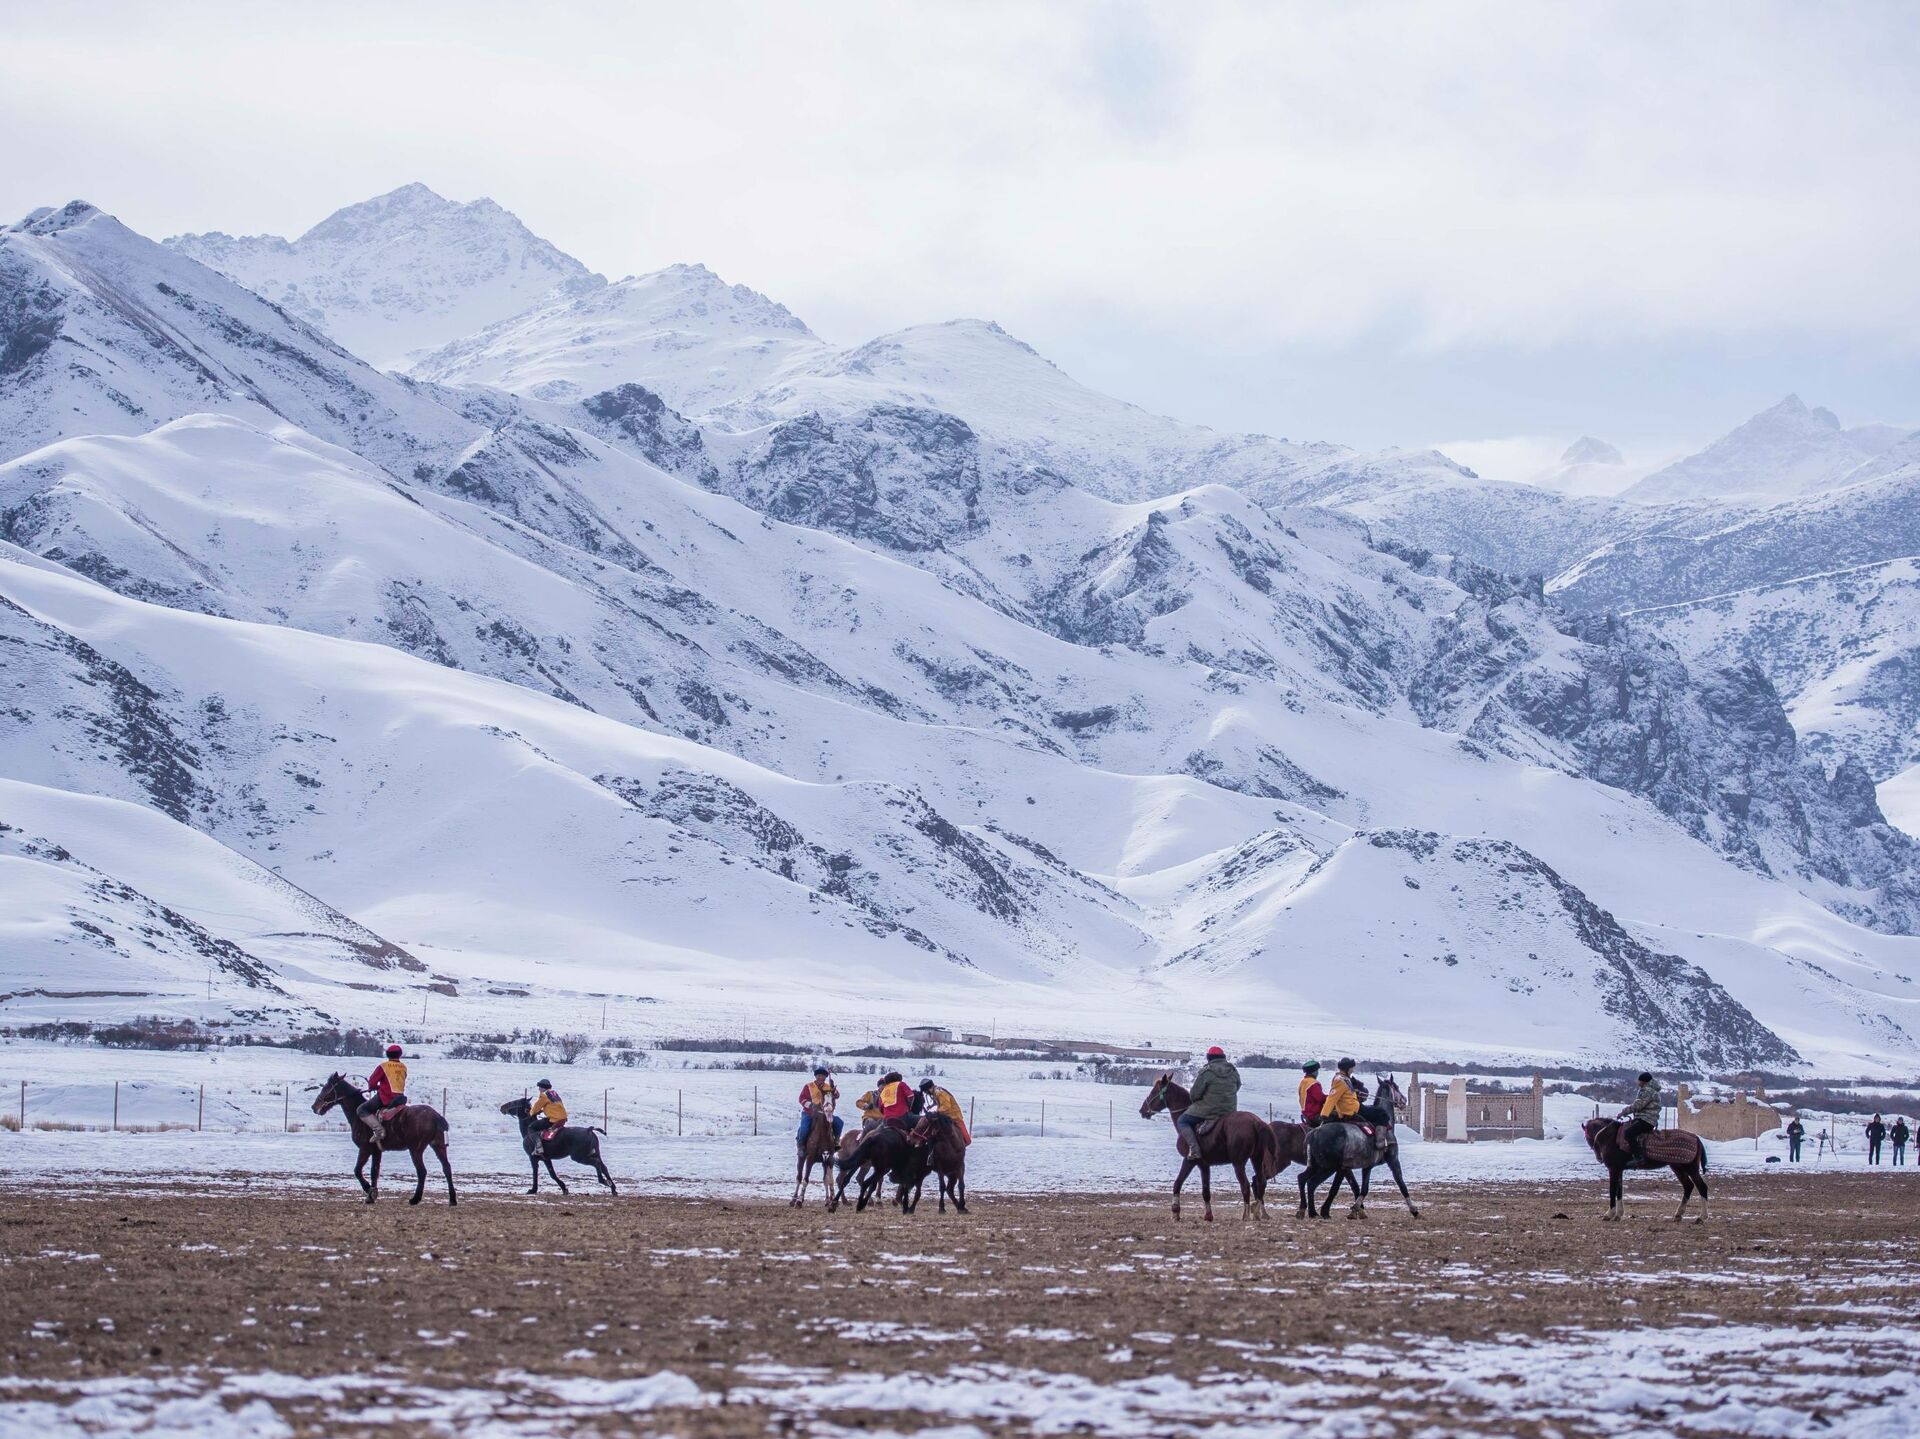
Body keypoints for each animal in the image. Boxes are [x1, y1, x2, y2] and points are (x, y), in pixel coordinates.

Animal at [311, 1073, 456, 1206]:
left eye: (327, 1087)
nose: (314, 1107)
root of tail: (436, 1116)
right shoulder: (376, 1151)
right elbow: (374, 1171)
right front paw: (371, 1195)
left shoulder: (364, 1149)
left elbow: (357, 1171)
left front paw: (369, 1190)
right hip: (438, 1145)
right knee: (447, 1168)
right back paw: (452, 1199)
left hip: (416, 1149)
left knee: (422, 1171)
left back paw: (415, 1199)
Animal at [1138, 1073, 1278, 1222]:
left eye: (1154, 1091)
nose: (1142, 1110)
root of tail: (1255, 1122)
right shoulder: (1204, 1165)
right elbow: (1206, 1191)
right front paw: (1208, 1215)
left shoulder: (1189, 1161)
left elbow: (1177, 1183)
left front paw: (1175, 1212)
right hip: (1256, 1158)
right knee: (1261, 1182)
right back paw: (1260, 1213)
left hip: (1238, 1163)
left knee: (1245, 1185)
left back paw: (1246, 1215)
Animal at [1297, 1075, 1418, 1220]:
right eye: (1396, 1087)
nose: (1404, 1101)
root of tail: (1314, 1133)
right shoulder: (1393, 1160)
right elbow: (1401, 1184)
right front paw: (1414, 1210)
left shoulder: (1367, 1166)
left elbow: (1363, 1188)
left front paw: (1355, 1209)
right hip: (1328, 1168)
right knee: (1312, 1183)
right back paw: (1314, 1212)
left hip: (1316, 1165)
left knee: (1302, 1179)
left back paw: (1306, 1210)